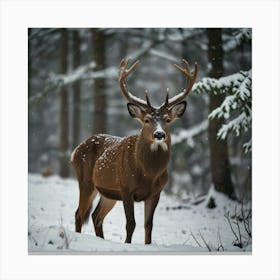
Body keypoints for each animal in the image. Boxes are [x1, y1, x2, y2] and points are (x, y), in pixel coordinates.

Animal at [71, 59, 198, 245]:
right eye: (146, 120)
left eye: (168, 120)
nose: (159, 134)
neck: (148, 173)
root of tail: (75, 150)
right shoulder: (126, 188)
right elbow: (131, 223)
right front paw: (127, 244)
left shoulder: (156, 192)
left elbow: (148, 225)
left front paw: (147, 244)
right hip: (85, 180)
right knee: (79, 214)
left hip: (107, 192)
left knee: (96, 216)